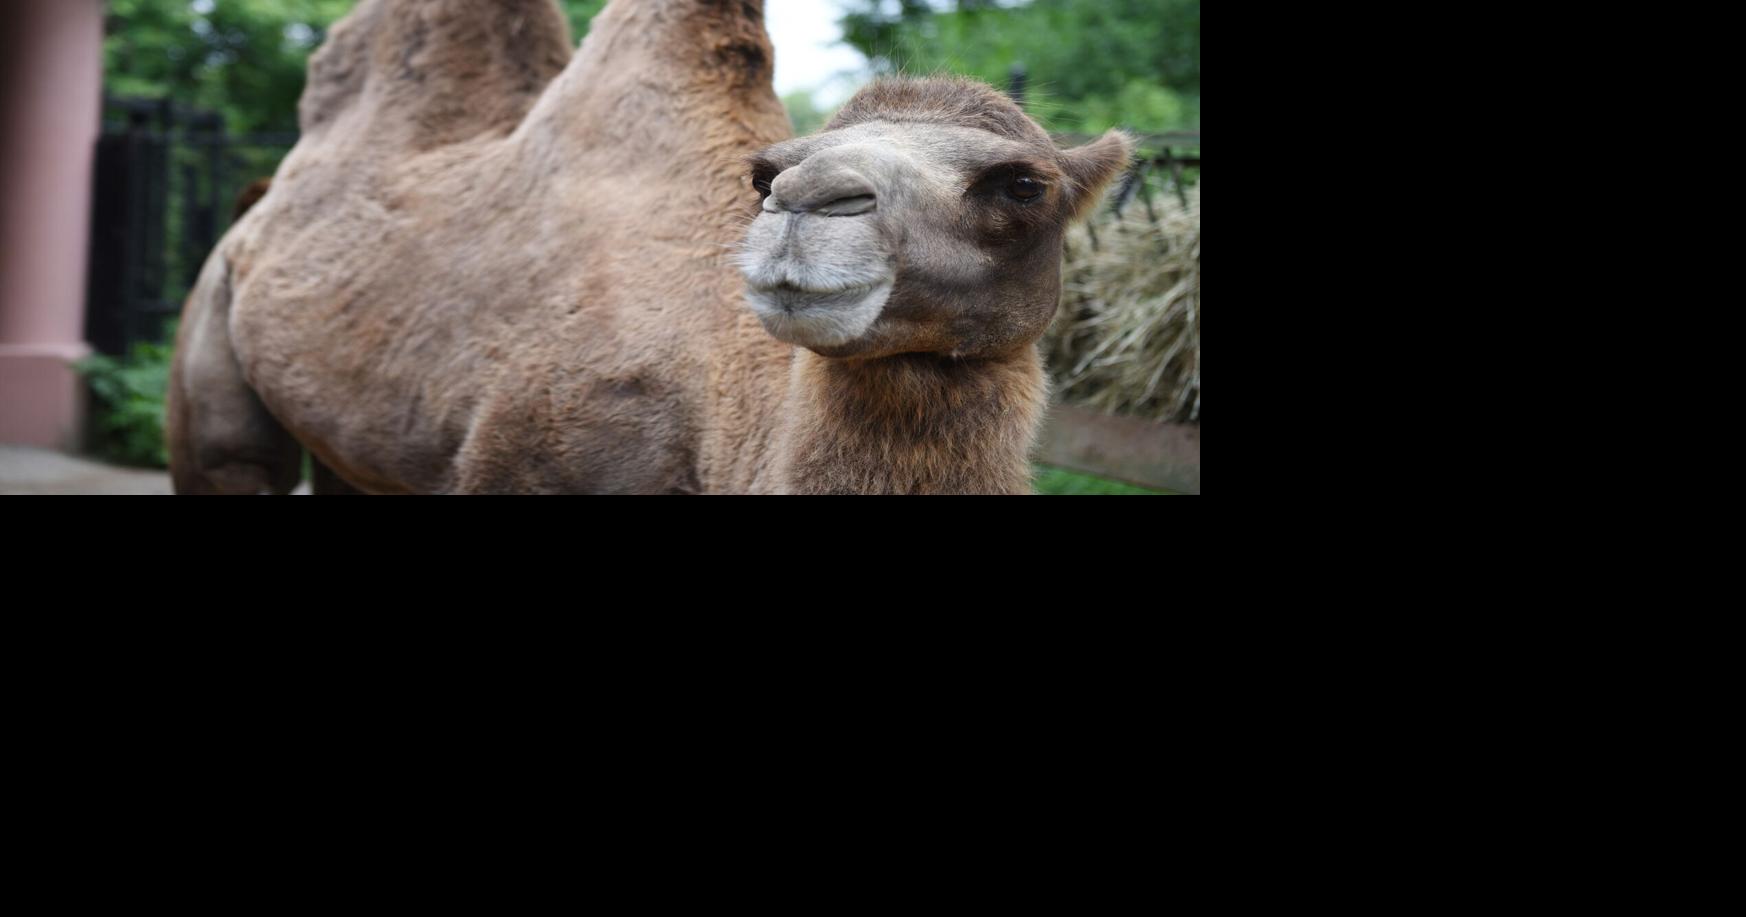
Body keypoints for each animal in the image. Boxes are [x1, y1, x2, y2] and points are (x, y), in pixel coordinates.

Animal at [167, 0, 1131, 494]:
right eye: (767, 174)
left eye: (1022, 185)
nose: (810, 204)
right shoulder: (521, 464)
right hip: (210, 339)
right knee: (229, 455)